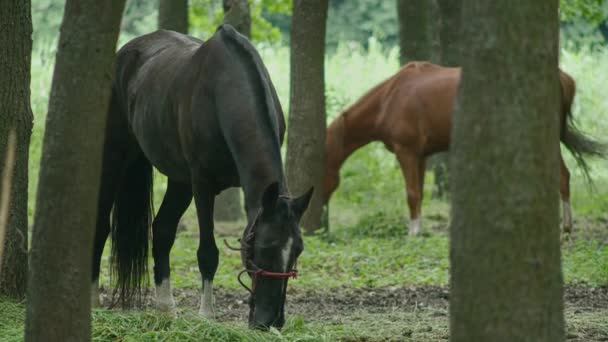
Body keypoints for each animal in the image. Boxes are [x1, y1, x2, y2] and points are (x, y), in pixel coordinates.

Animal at [90, 24, 314, 328]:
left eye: (297, 249)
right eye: (266, 247)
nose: (270, 320)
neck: (223, 92)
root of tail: (124, 53)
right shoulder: (203, 185)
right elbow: (208, 252)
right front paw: (207, 315)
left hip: (179, 181)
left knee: (162, 230)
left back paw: (166, 307)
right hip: (115, 159)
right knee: (101, 226)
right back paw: (93, 300)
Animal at [324, 62, 604, 235]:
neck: (389, 99)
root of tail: (561, 76)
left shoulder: (407, 152)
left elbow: (411, 193)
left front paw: (413, 233)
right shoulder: (420, 156)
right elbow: (420, 193)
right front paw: (419, 230)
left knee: (561, 176)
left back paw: (564, 227)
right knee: (563, 177)